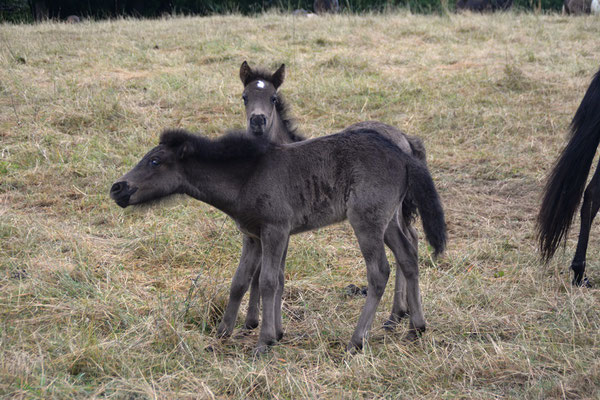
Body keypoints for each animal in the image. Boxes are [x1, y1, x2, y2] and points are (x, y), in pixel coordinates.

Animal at [111, 128, 446, 354]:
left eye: (155, 161)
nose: (117, 188)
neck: (247, 176)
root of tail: (404, 154)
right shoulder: (253, 236)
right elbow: (243, 281)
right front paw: (224, 332)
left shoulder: (275, 230)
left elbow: (269, 281)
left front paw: (264, 342)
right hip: (388, 222)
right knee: (408, 256)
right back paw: (416, 327)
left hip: (366, 221)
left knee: (379, 272)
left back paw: (357, 340)